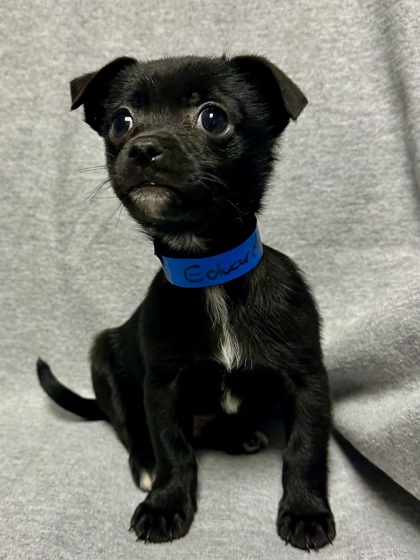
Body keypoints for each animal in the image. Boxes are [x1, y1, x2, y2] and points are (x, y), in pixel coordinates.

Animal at [37, 54, 336, 550]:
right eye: (121, 121)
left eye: (213, 118)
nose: (143, 149)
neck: (209, 273)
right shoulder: (162, 386)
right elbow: (173, 450)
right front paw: (165, 504)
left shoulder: (306, 379)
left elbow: (305, 449)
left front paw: (306, 511)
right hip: (104, 361)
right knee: (131, 429)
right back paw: (145, 466)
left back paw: (237, 436)